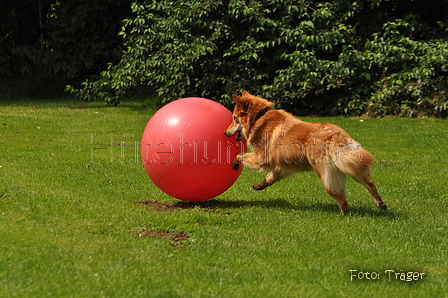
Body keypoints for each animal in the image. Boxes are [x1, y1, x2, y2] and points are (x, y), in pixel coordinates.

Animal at [226, 91, 386, 214]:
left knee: (340, 196)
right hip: (349, 163)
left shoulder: (261, 158)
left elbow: (241, 156)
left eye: (234, 118)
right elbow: (270, 177)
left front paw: (234, 163)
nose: (225, 132)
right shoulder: (282, 166)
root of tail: (334, 136)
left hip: (326, 174)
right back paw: (380, 203)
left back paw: (344, 215)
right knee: (369, 182)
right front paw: (260, 186)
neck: (258, 117)